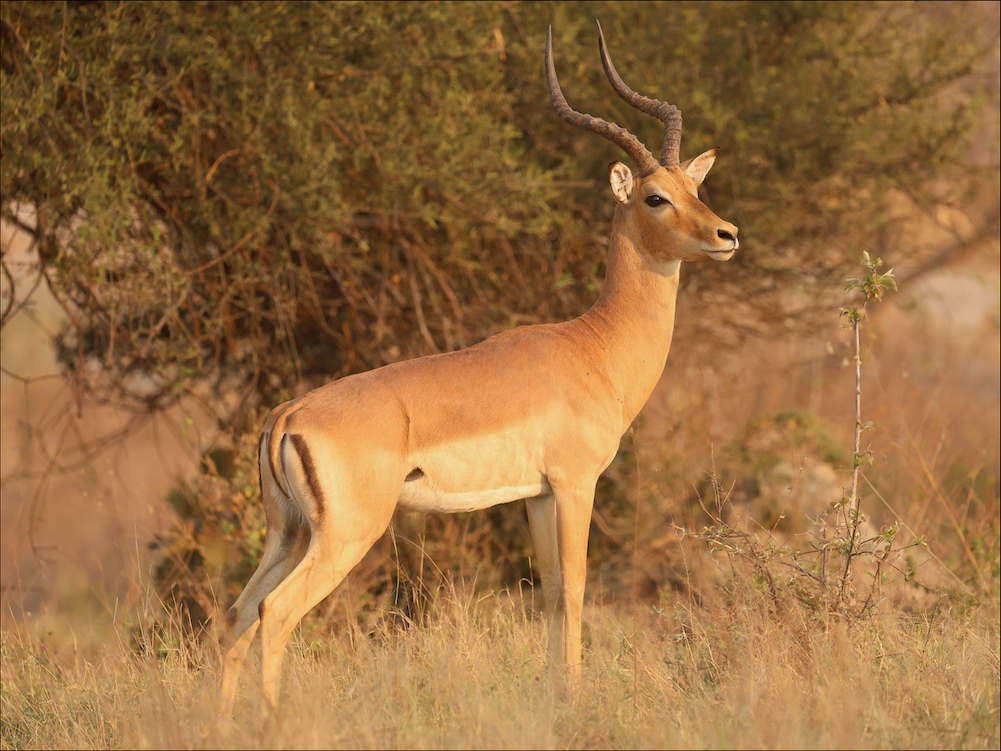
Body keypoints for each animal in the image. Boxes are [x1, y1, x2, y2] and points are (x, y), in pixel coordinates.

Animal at [220, 21, 738, 711]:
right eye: (656, 197)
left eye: (695, 189)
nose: (727, 235)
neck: (595, 347)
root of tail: (287, 415)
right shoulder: (575, 484)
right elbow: (576, 591)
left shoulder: (537, 495)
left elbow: (551, 594)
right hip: (344, 535)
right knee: (275, 613)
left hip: (288, 532)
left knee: (238, 613)